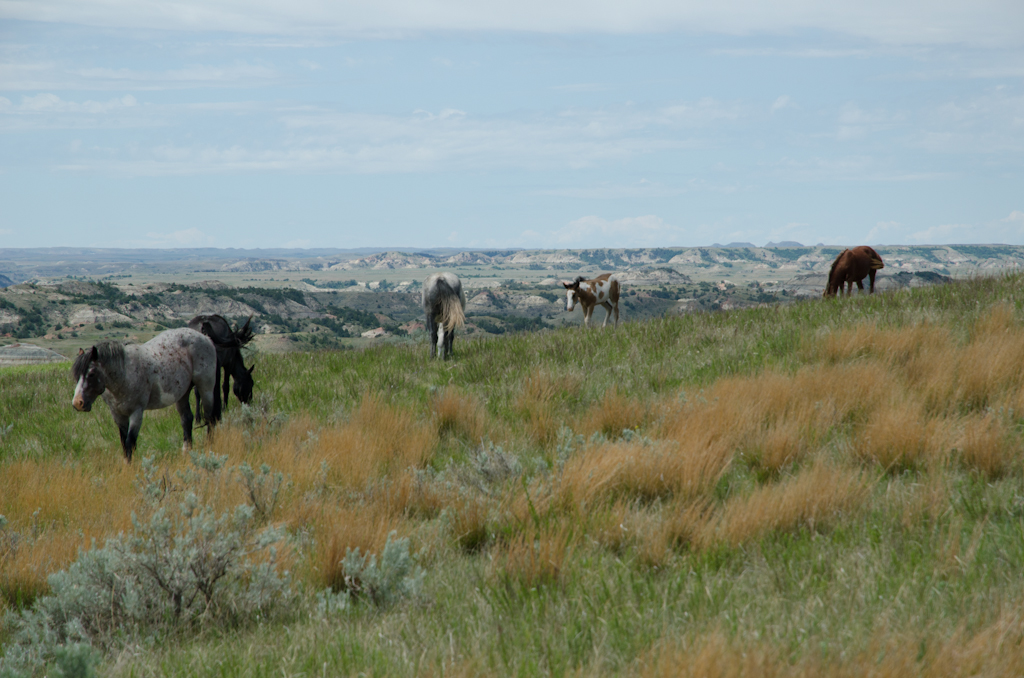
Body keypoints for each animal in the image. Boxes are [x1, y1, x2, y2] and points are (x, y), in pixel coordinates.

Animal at [72, 327, 224, 462]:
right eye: (77, 375)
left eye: (91, 374)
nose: (78, 403)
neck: (124, 374)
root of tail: (206, 338)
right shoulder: (118, 414)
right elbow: (123, 442)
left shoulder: (137, 412)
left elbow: (130, 442)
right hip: (182, 395)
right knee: (187, 420)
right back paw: (186, 452)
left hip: (206, 389)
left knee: (210, 419)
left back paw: (209, 447)